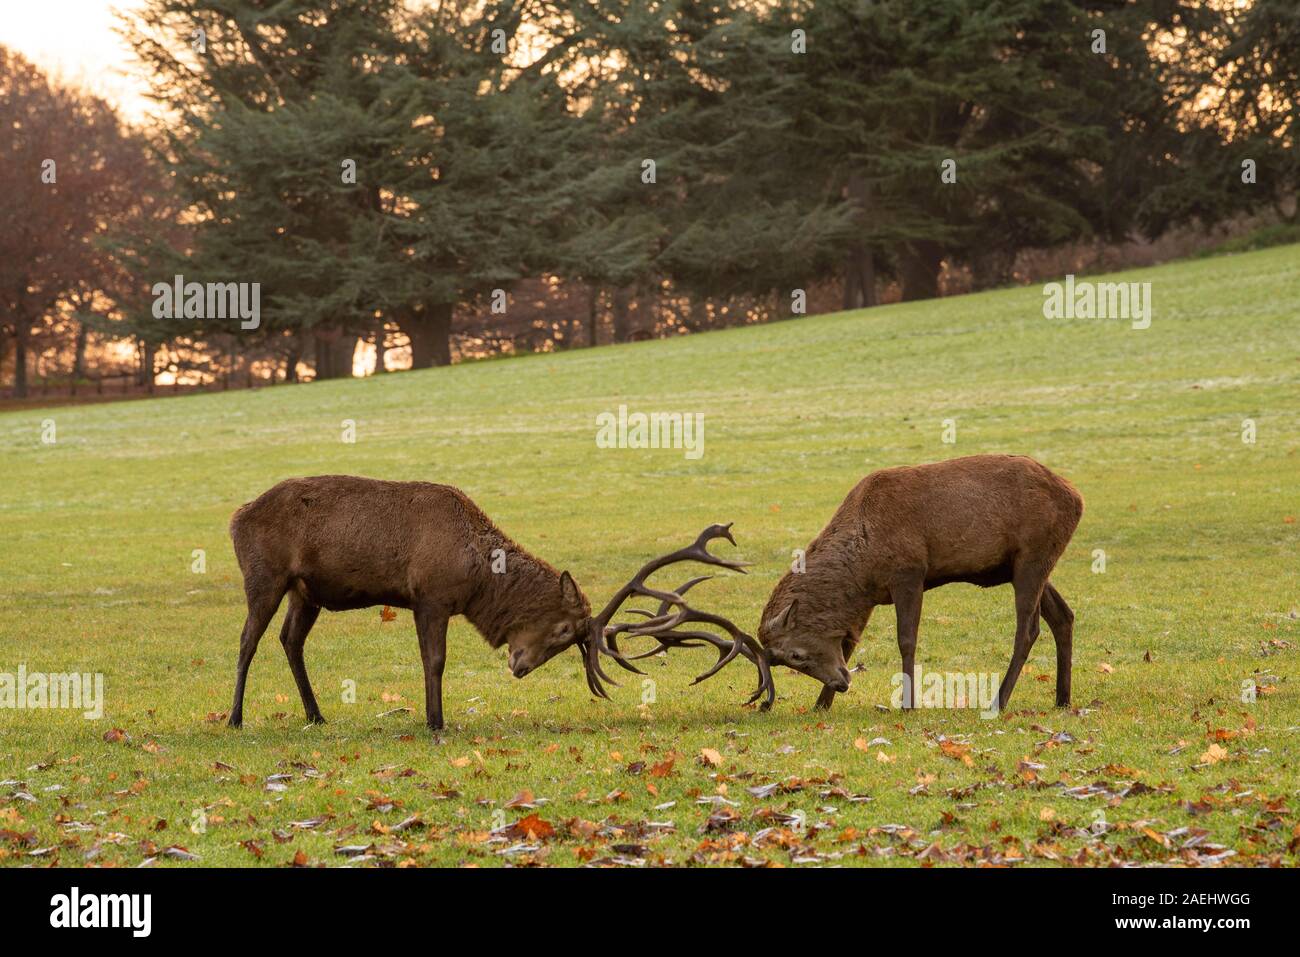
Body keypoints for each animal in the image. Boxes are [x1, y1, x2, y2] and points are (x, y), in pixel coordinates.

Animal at [226, 475, 772, 732]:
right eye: (562, 631)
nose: (520, 667)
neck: (475, 575)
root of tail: (235, 517)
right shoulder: (429, 595)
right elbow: (434, 661)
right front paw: (435, 721)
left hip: (306, 591)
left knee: (289, 639)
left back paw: (316, 715)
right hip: (264, 575)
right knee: (248, 641)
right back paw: (234, 718)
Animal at [757, 454, 1083, 714]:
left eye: (796, 655)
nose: (841, 684)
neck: (861, 569)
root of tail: (1076, 498)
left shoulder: (909, 572)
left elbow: (906, 640)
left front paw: (908, 704)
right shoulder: (868, 599)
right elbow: (849, 645)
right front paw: (821, 704)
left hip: (1034, 555)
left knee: (1028, 629)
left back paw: (999, 701)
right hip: (1021, 565)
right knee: (1063, 615)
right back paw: (1062, 698)